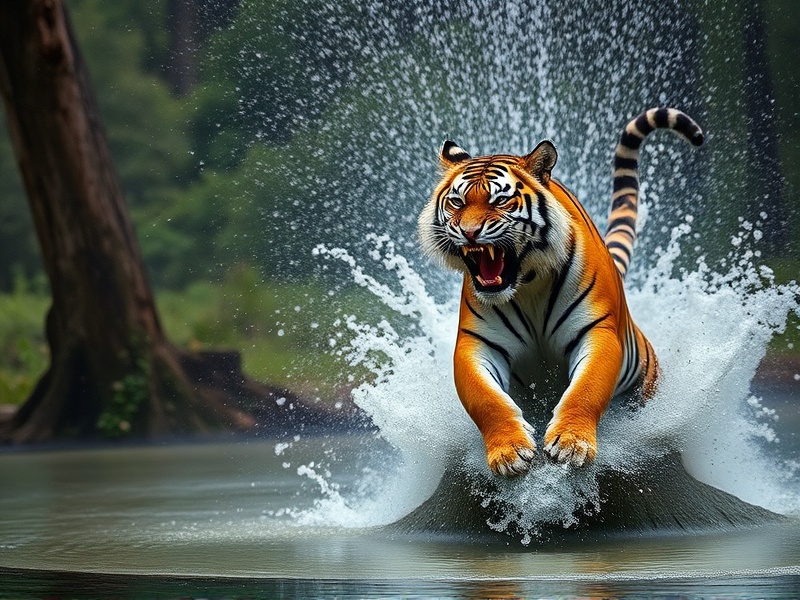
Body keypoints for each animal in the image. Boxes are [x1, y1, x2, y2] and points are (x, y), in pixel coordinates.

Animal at [418, 107, 703, 476]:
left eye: (501, 200)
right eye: (456, 202)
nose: (468, 232)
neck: (527, 283)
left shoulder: (597, 332)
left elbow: (586, 389)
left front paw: (571, 445)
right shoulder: (477, 343)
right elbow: (486, 399)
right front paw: (509, 453)